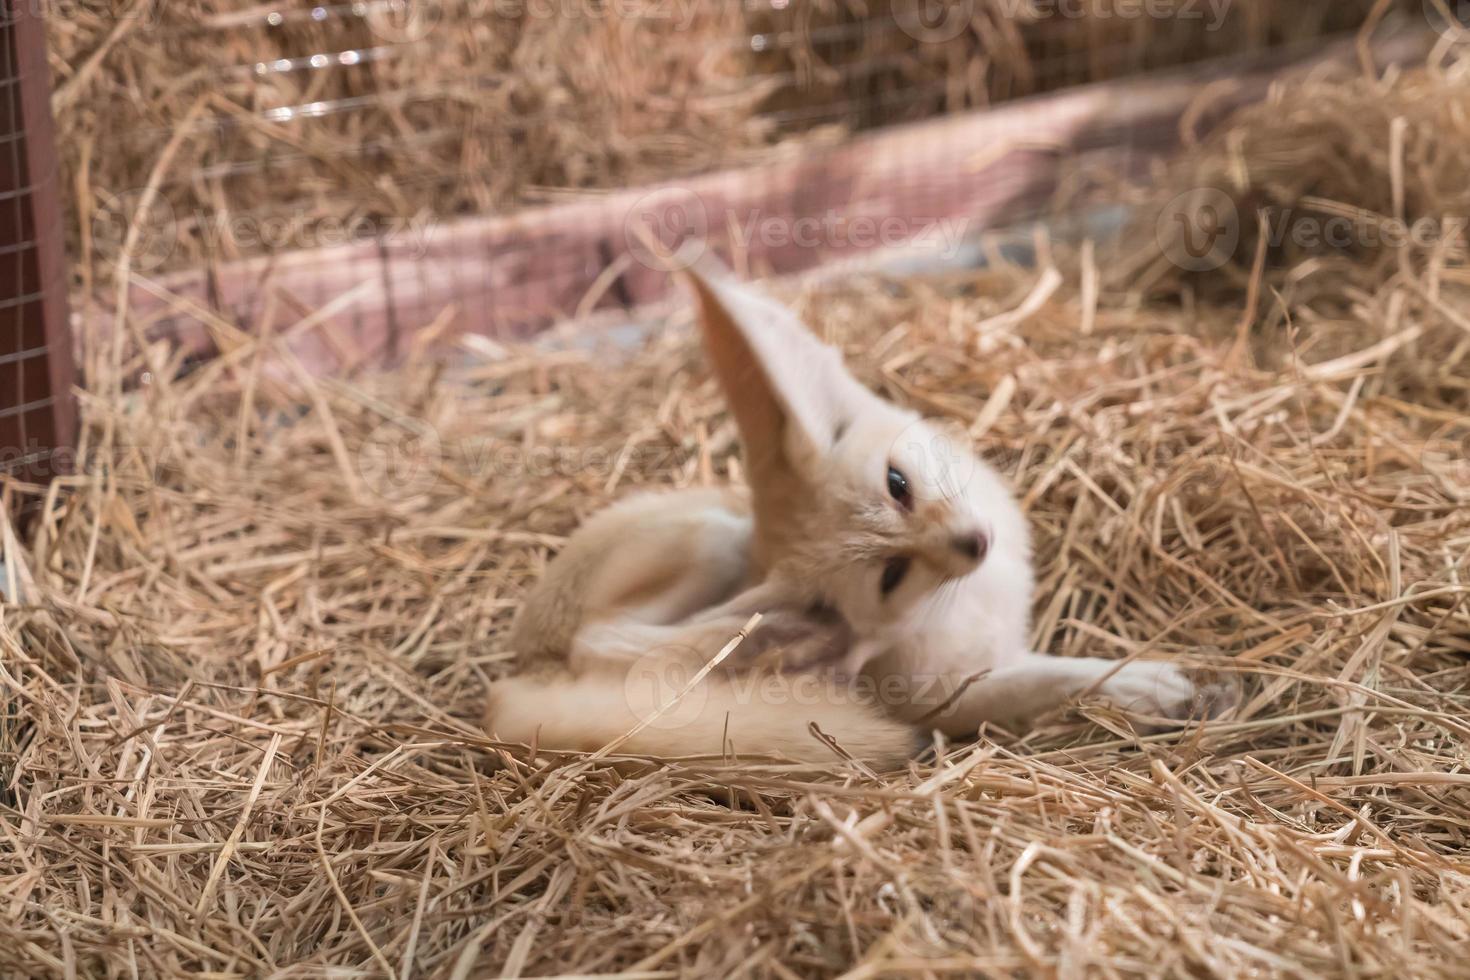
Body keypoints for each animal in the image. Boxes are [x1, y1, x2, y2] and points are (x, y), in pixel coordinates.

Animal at [485, 260, 1228, 764]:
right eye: (891, 576)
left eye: (898, 484)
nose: (975, 544)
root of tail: (515, 671)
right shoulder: (950, 694)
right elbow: (1054, 679)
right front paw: (1145, 686)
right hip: (707, 544)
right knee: (610, 645)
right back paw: (773, 642)